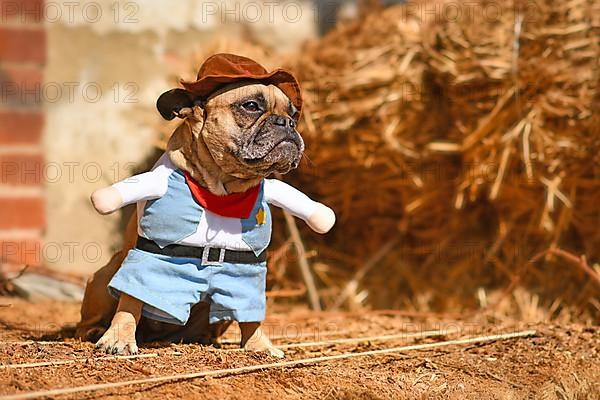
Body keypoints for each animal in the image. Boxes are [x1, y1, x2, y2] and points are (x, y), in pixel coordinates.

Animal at [76, 53, 332, 356]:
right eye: (251, 106)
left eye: (293, 114)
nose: (287, 123)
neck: (223, 190)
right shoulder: (145, 257)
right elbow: (130, 301)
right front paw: (119, 339)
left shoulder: (247, 274)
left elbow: (250, 315)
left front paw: (259, 345)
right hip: (104, 277)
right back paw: (94, 331)